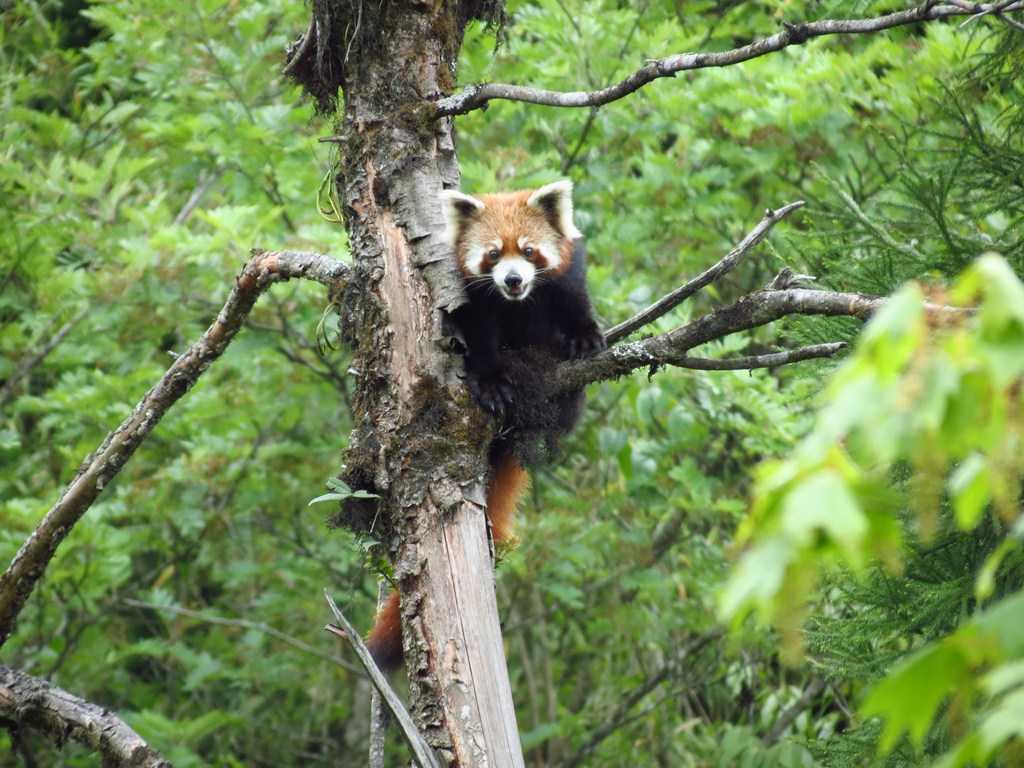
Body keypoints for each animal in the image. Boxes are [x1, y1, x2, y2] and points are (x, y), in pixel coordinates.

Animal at [366, 180, 598, 671]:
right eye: (493, 255)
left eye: (528, 251)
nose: (512, 280)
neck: (517, 305)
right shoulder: (471, 301)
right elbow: (479, 338)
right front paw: (491, 380)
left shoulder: (566, 277)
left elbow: (574, 303)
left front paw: (584, 335)